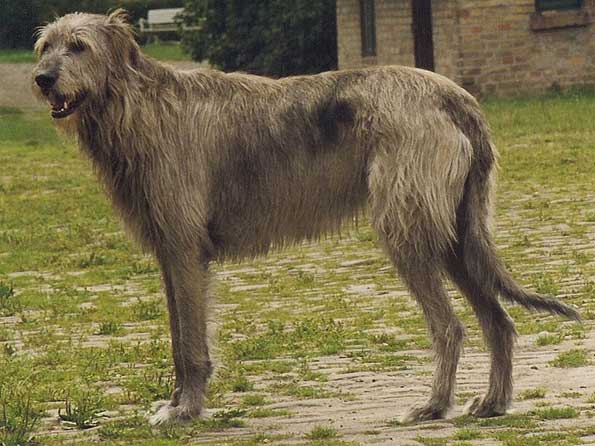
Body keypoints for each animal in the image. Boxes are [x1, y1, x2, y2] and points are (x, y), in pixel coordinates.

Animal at [32, 8, 584, 424]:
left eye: (79, 46)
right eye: (44, 47)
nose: (42, 80)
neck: (137, 107)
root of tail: (456, 95)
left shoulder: (185, 249)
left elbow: (190, 345)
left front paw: (185, 411)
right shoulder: (169, 253)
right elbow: (176, 336)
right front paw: (175, 404)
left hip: (408, 231)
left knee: (450, 327)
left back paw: (433, 406)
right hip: (453, 235)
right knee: (498, 320)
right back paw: (492, 403)